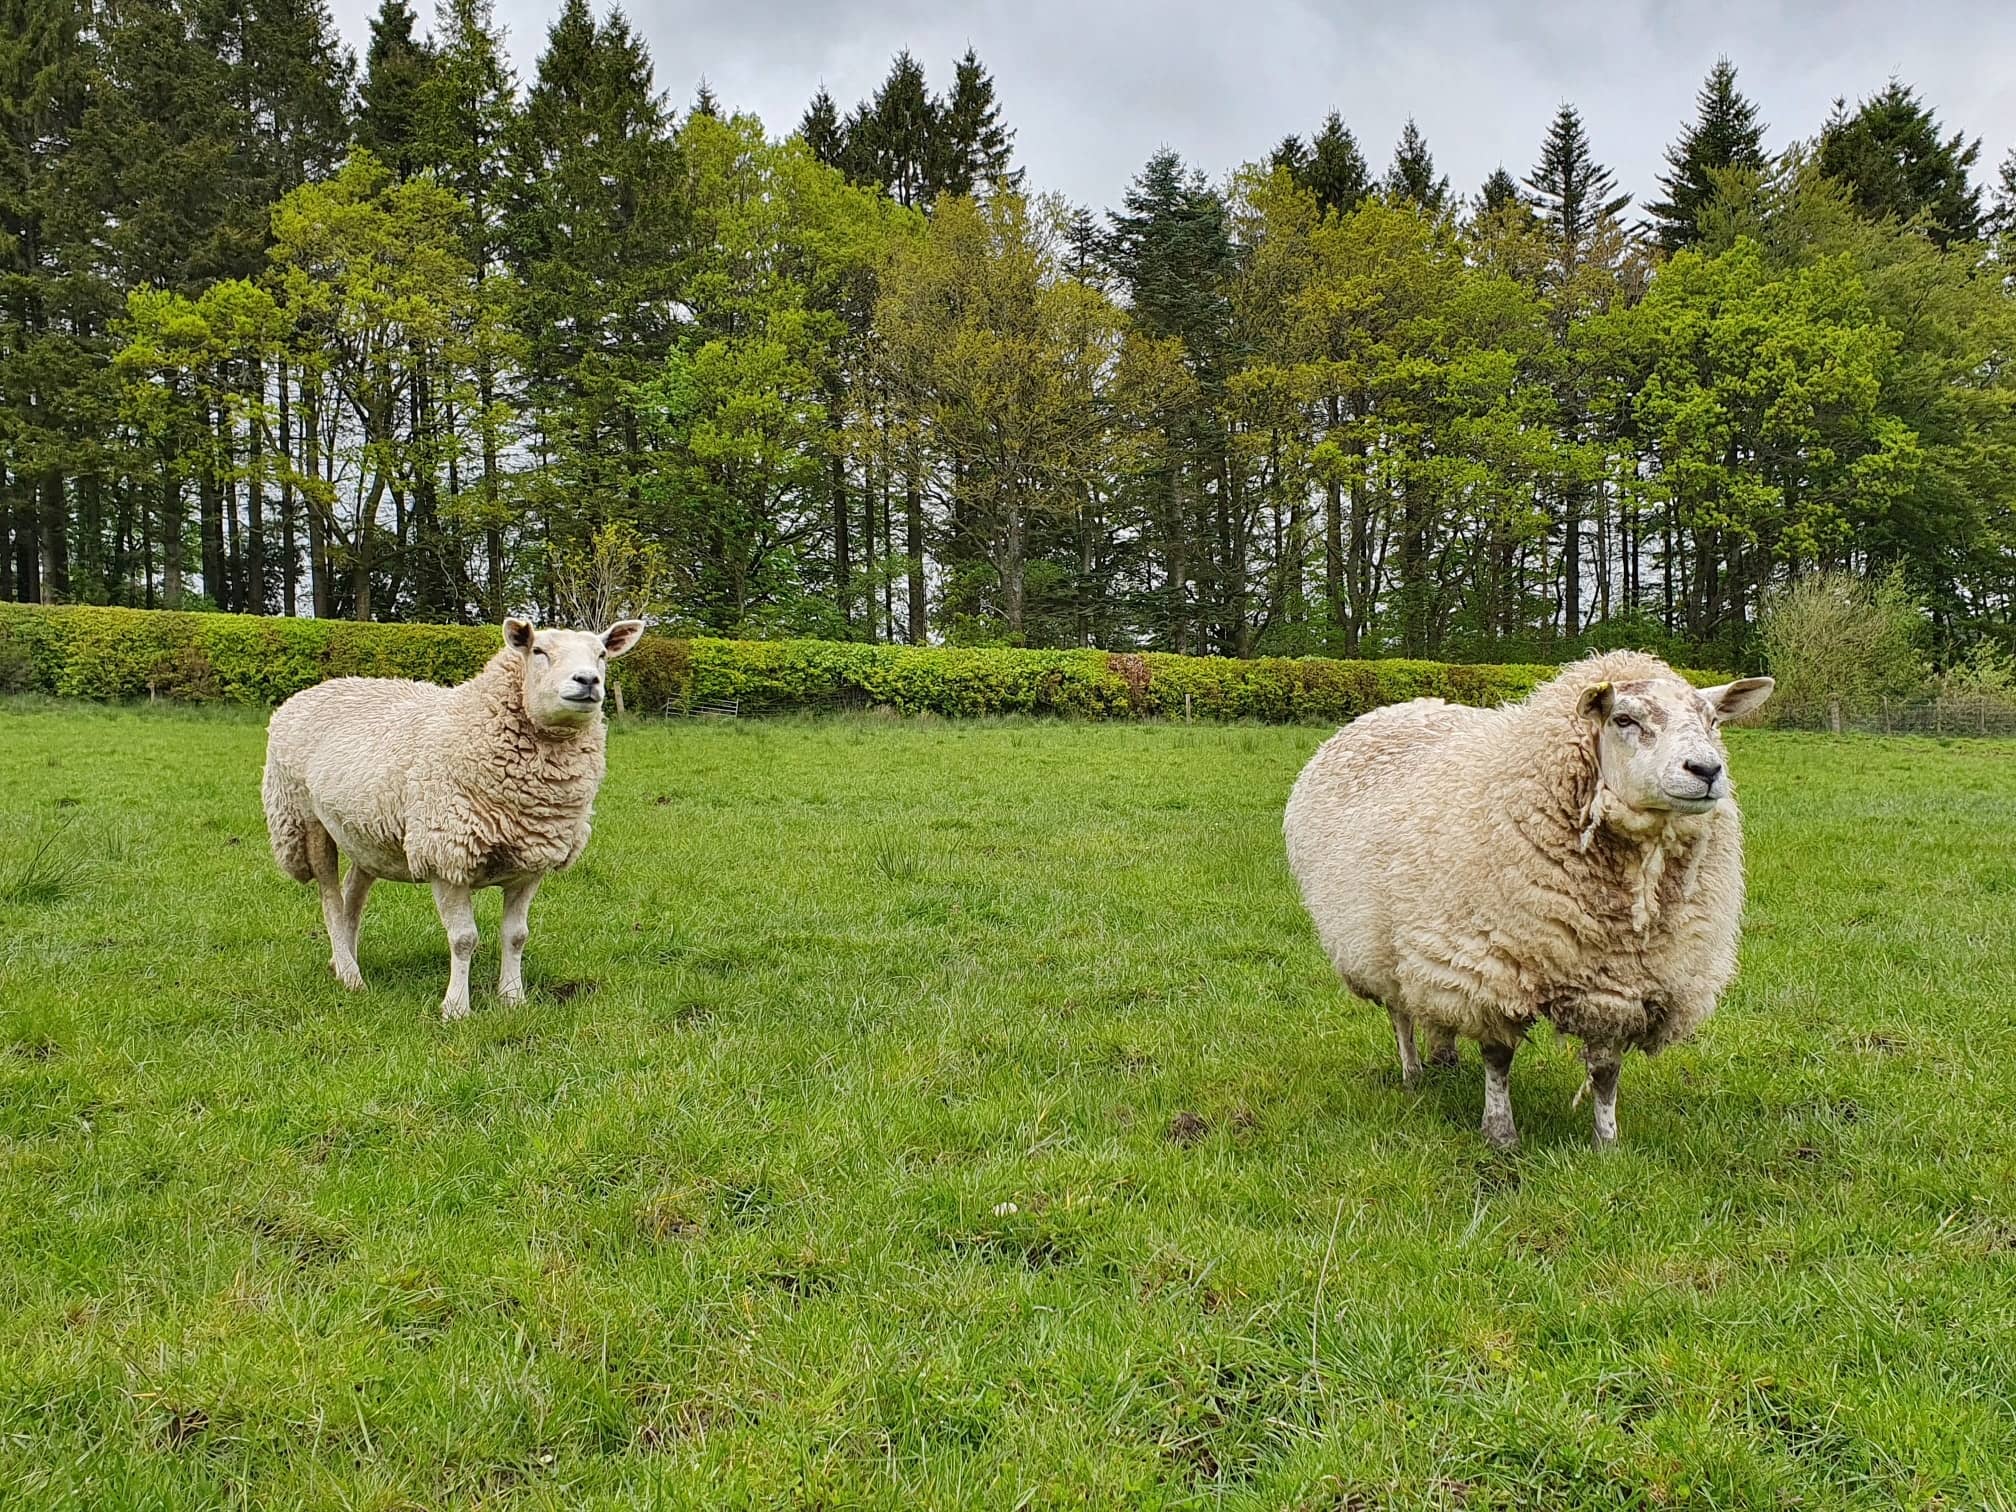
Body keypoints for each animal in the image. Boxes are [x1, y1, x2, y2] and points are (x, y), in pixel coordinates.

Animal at [258, 620, 637, 1024]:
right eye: (538, 651)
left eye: (601, 654)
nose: (588, 680)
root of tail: (311, 690)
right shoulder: (445, 854)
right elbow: (464, 939)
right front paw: (456, 1008)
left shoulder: (532, 862)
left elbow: (517, 935)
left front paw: (512, 998)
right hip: (302, 818)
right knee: (330, 898)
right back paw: (350, 975)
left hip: (365, 832)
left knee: (352, 897)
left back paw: (344, 959)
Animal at [1282, 649, 1774, 1145]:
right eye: (1624, 719)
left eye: (1713, 720)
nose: (1707, 770)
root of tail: (1395, 708)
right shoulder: (1491, 967)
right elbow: (1498, 1057)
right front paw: (1501, 1134)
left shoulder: (1619, 987)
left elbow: (1605, 1071)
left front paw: (1607, 1142)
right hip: (1376, 943)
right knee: (1401, 1014)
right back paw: (1414, 1074)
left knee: (1434, 1010)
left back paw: (1444, 1058)